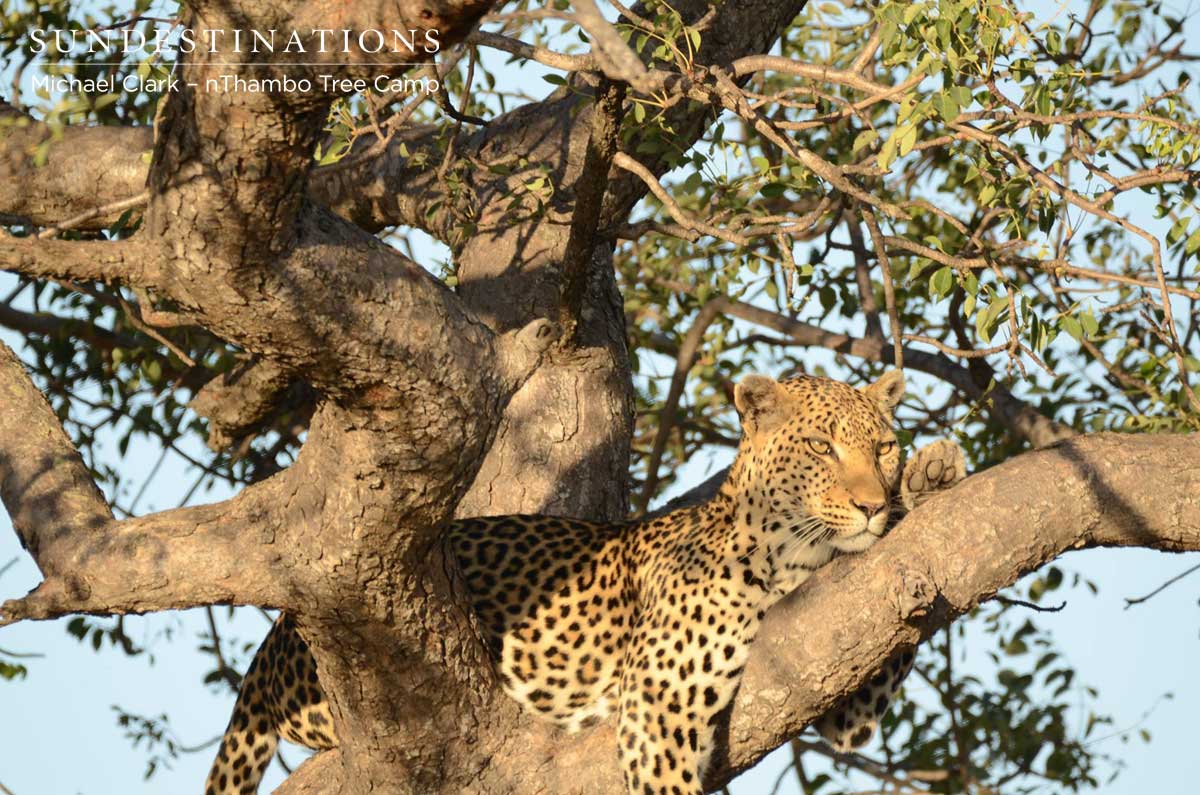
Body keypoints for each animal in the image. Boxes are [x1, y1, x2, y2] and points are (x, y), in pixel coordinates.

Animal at [205, 370, 965, 795]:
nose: (870, 504)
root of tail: (272, 644)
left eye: (884, 446)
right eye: (820, 448)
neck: (793, 555)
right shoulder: (658, 704)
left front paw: (934, 475)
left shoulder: (841, 673)